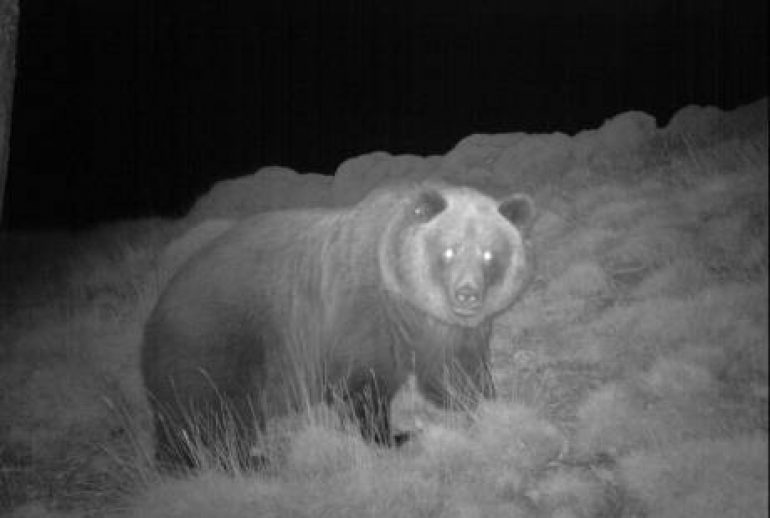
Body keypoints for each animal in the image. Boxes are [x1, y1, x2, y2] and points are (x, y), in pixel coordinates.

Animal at [140, 182, 536, 472]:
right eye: (450, 249)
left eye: (489, 253)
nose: (467, 294)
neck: (406, 303)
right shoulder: (359, 315)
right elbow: (363, 387)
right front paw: (396, 435)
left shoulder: (446, 330)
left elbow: (456, 372)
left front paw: (486, 401)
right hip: (212, 346)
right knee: (218, 417)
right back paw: (249, 459)